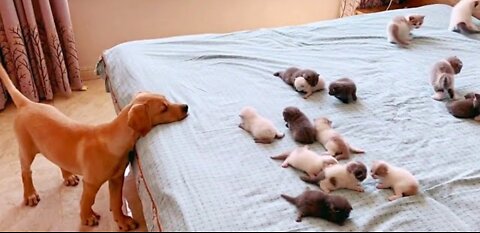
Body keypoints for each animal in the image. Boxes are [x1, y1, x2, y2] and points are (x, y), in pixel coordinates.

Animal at [0, 64, 189, 230]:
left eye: (166, 99)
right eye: (163, 108)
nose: (186, 107)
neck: (113, 140)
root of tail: (27, 103)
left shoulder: (116, 178)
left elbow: (116, 201)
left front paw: (121, 220)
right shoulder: (91, 183)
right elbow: (86, 201)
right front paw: (87, 217)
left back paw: (68, 176)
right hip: (26, 149)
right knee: (25, 172)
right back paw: (30, 194)